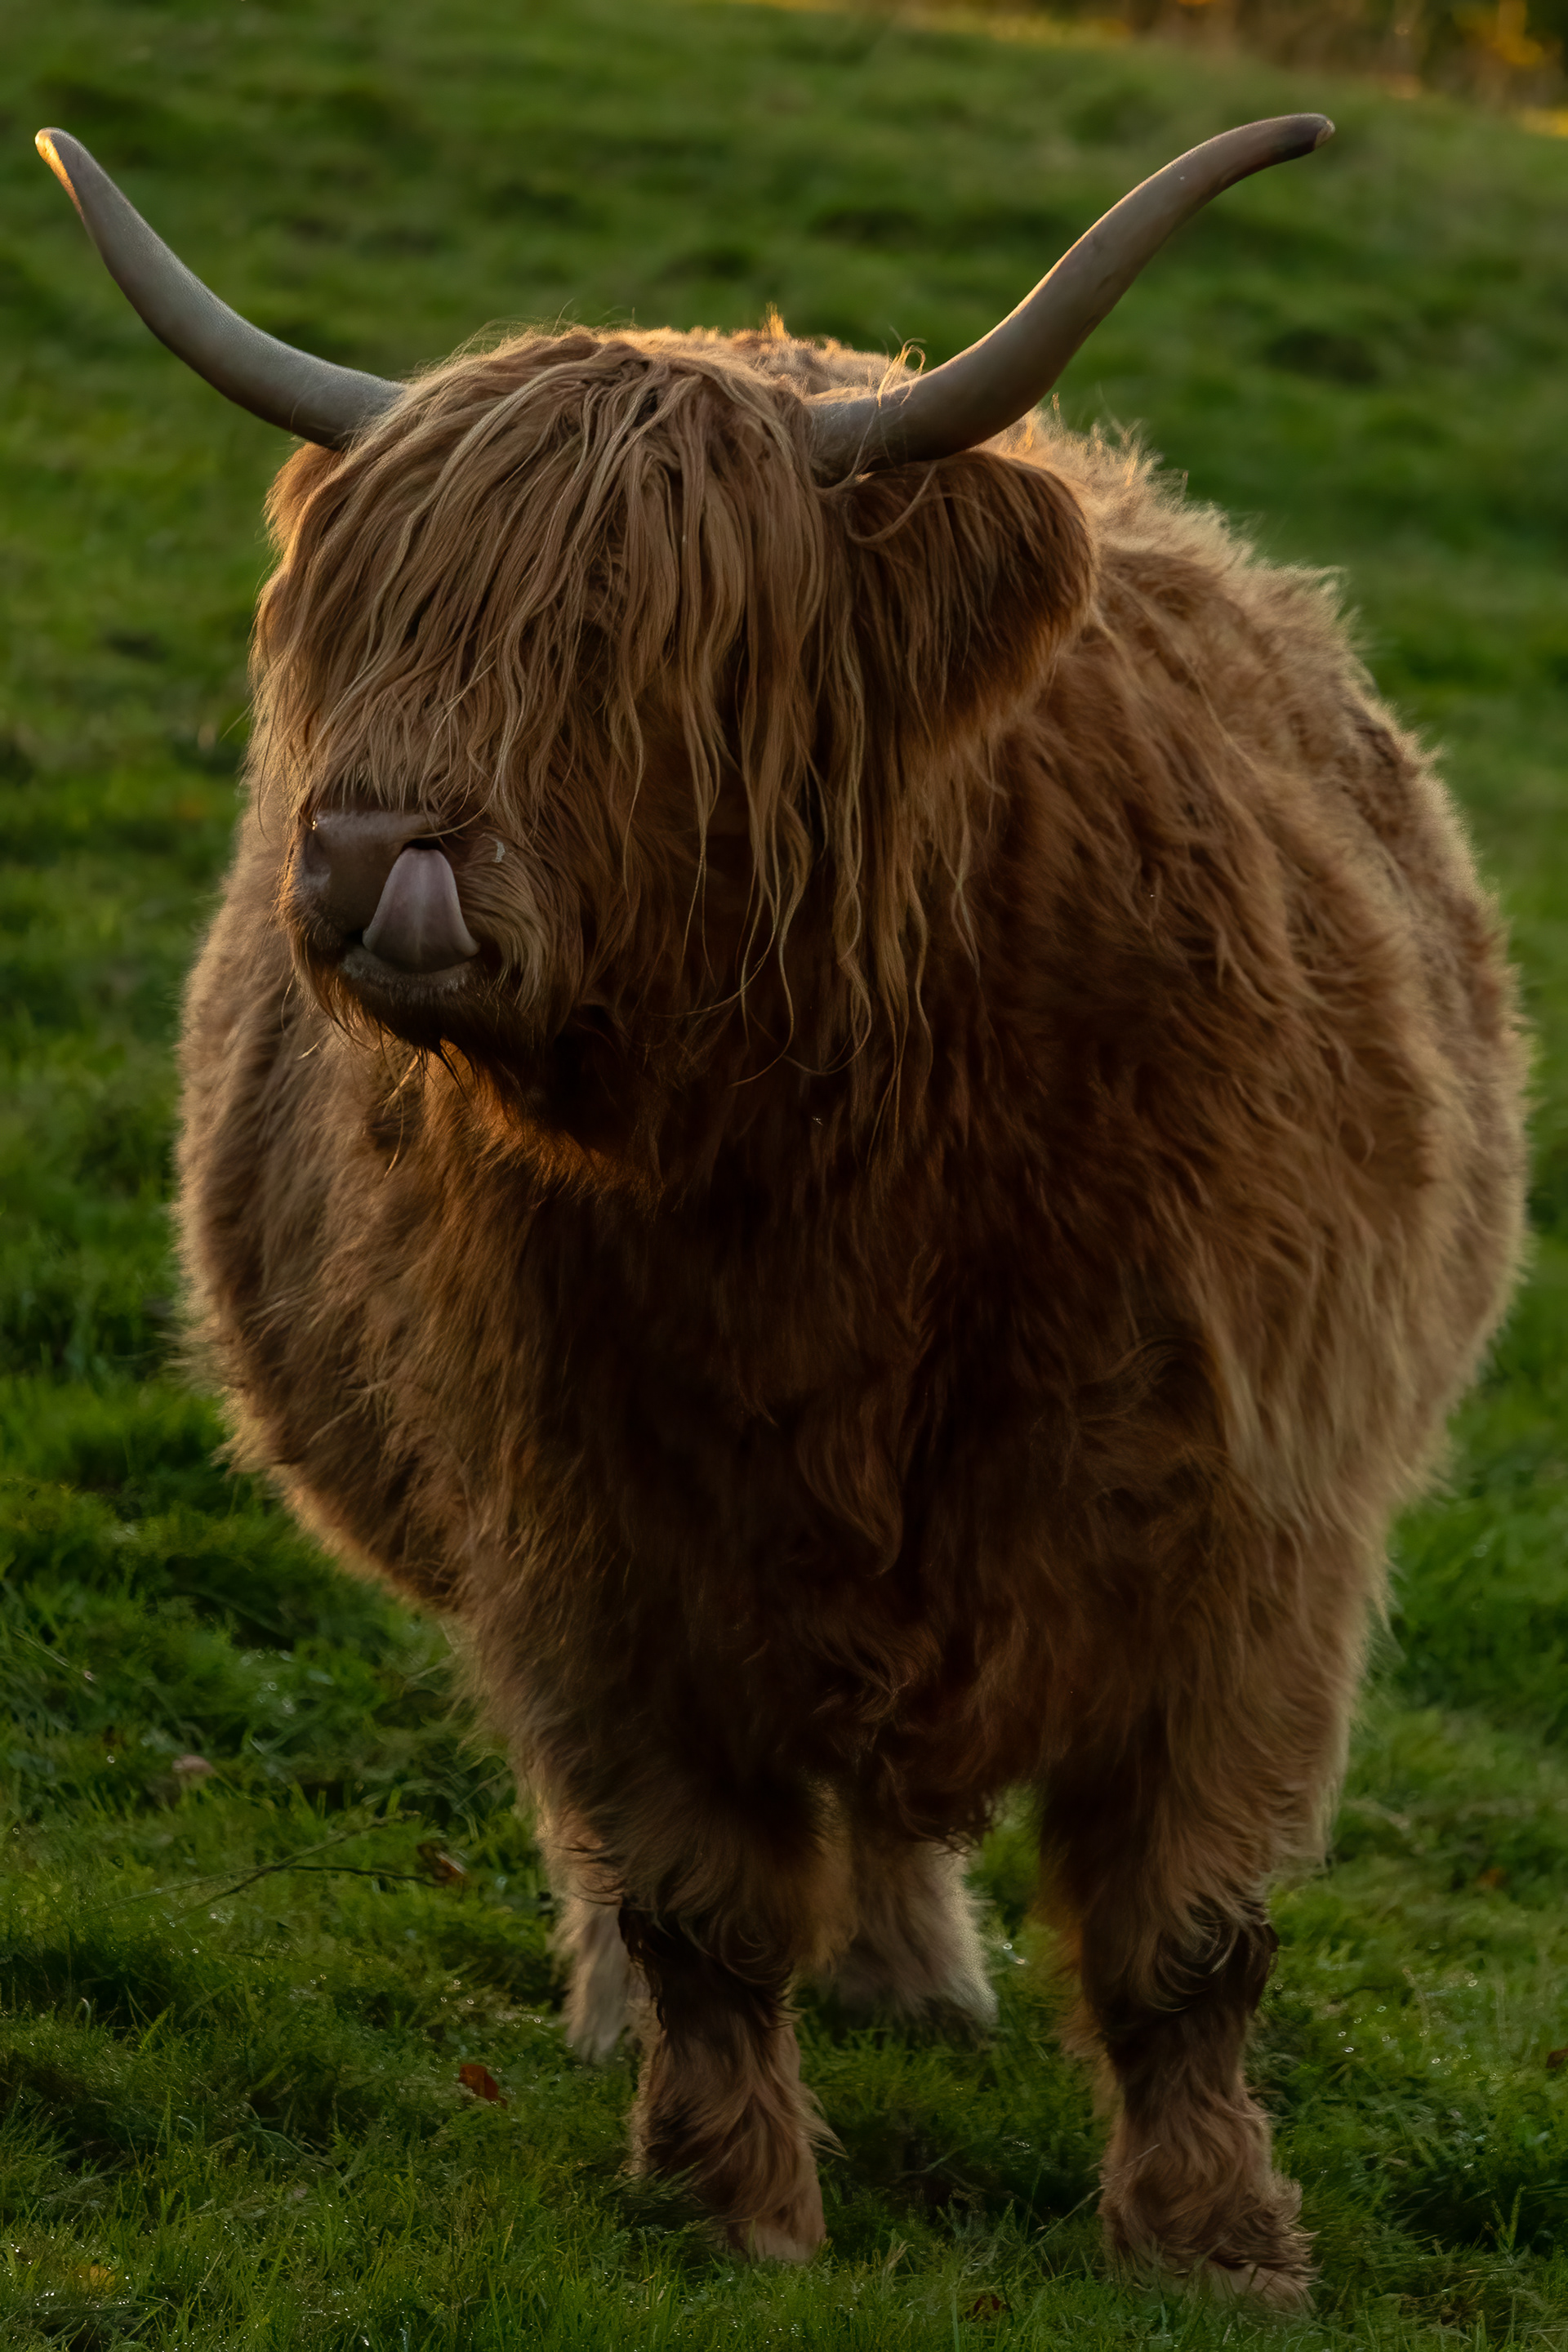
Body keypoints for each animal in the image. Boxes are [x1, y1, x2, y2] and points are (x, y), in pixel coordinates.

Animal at [40, 116, 1526, 2305]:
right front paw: (727, 2201)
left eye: (630, 633)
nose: (367, 851)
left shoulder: (1252, 1534)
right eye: (370, 617)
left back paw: (921, 1985)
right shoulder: (590, 1529)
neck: (848, 1174)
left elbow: (1187, 1932)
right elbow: (695, 1893)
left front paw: (1219, 2243)